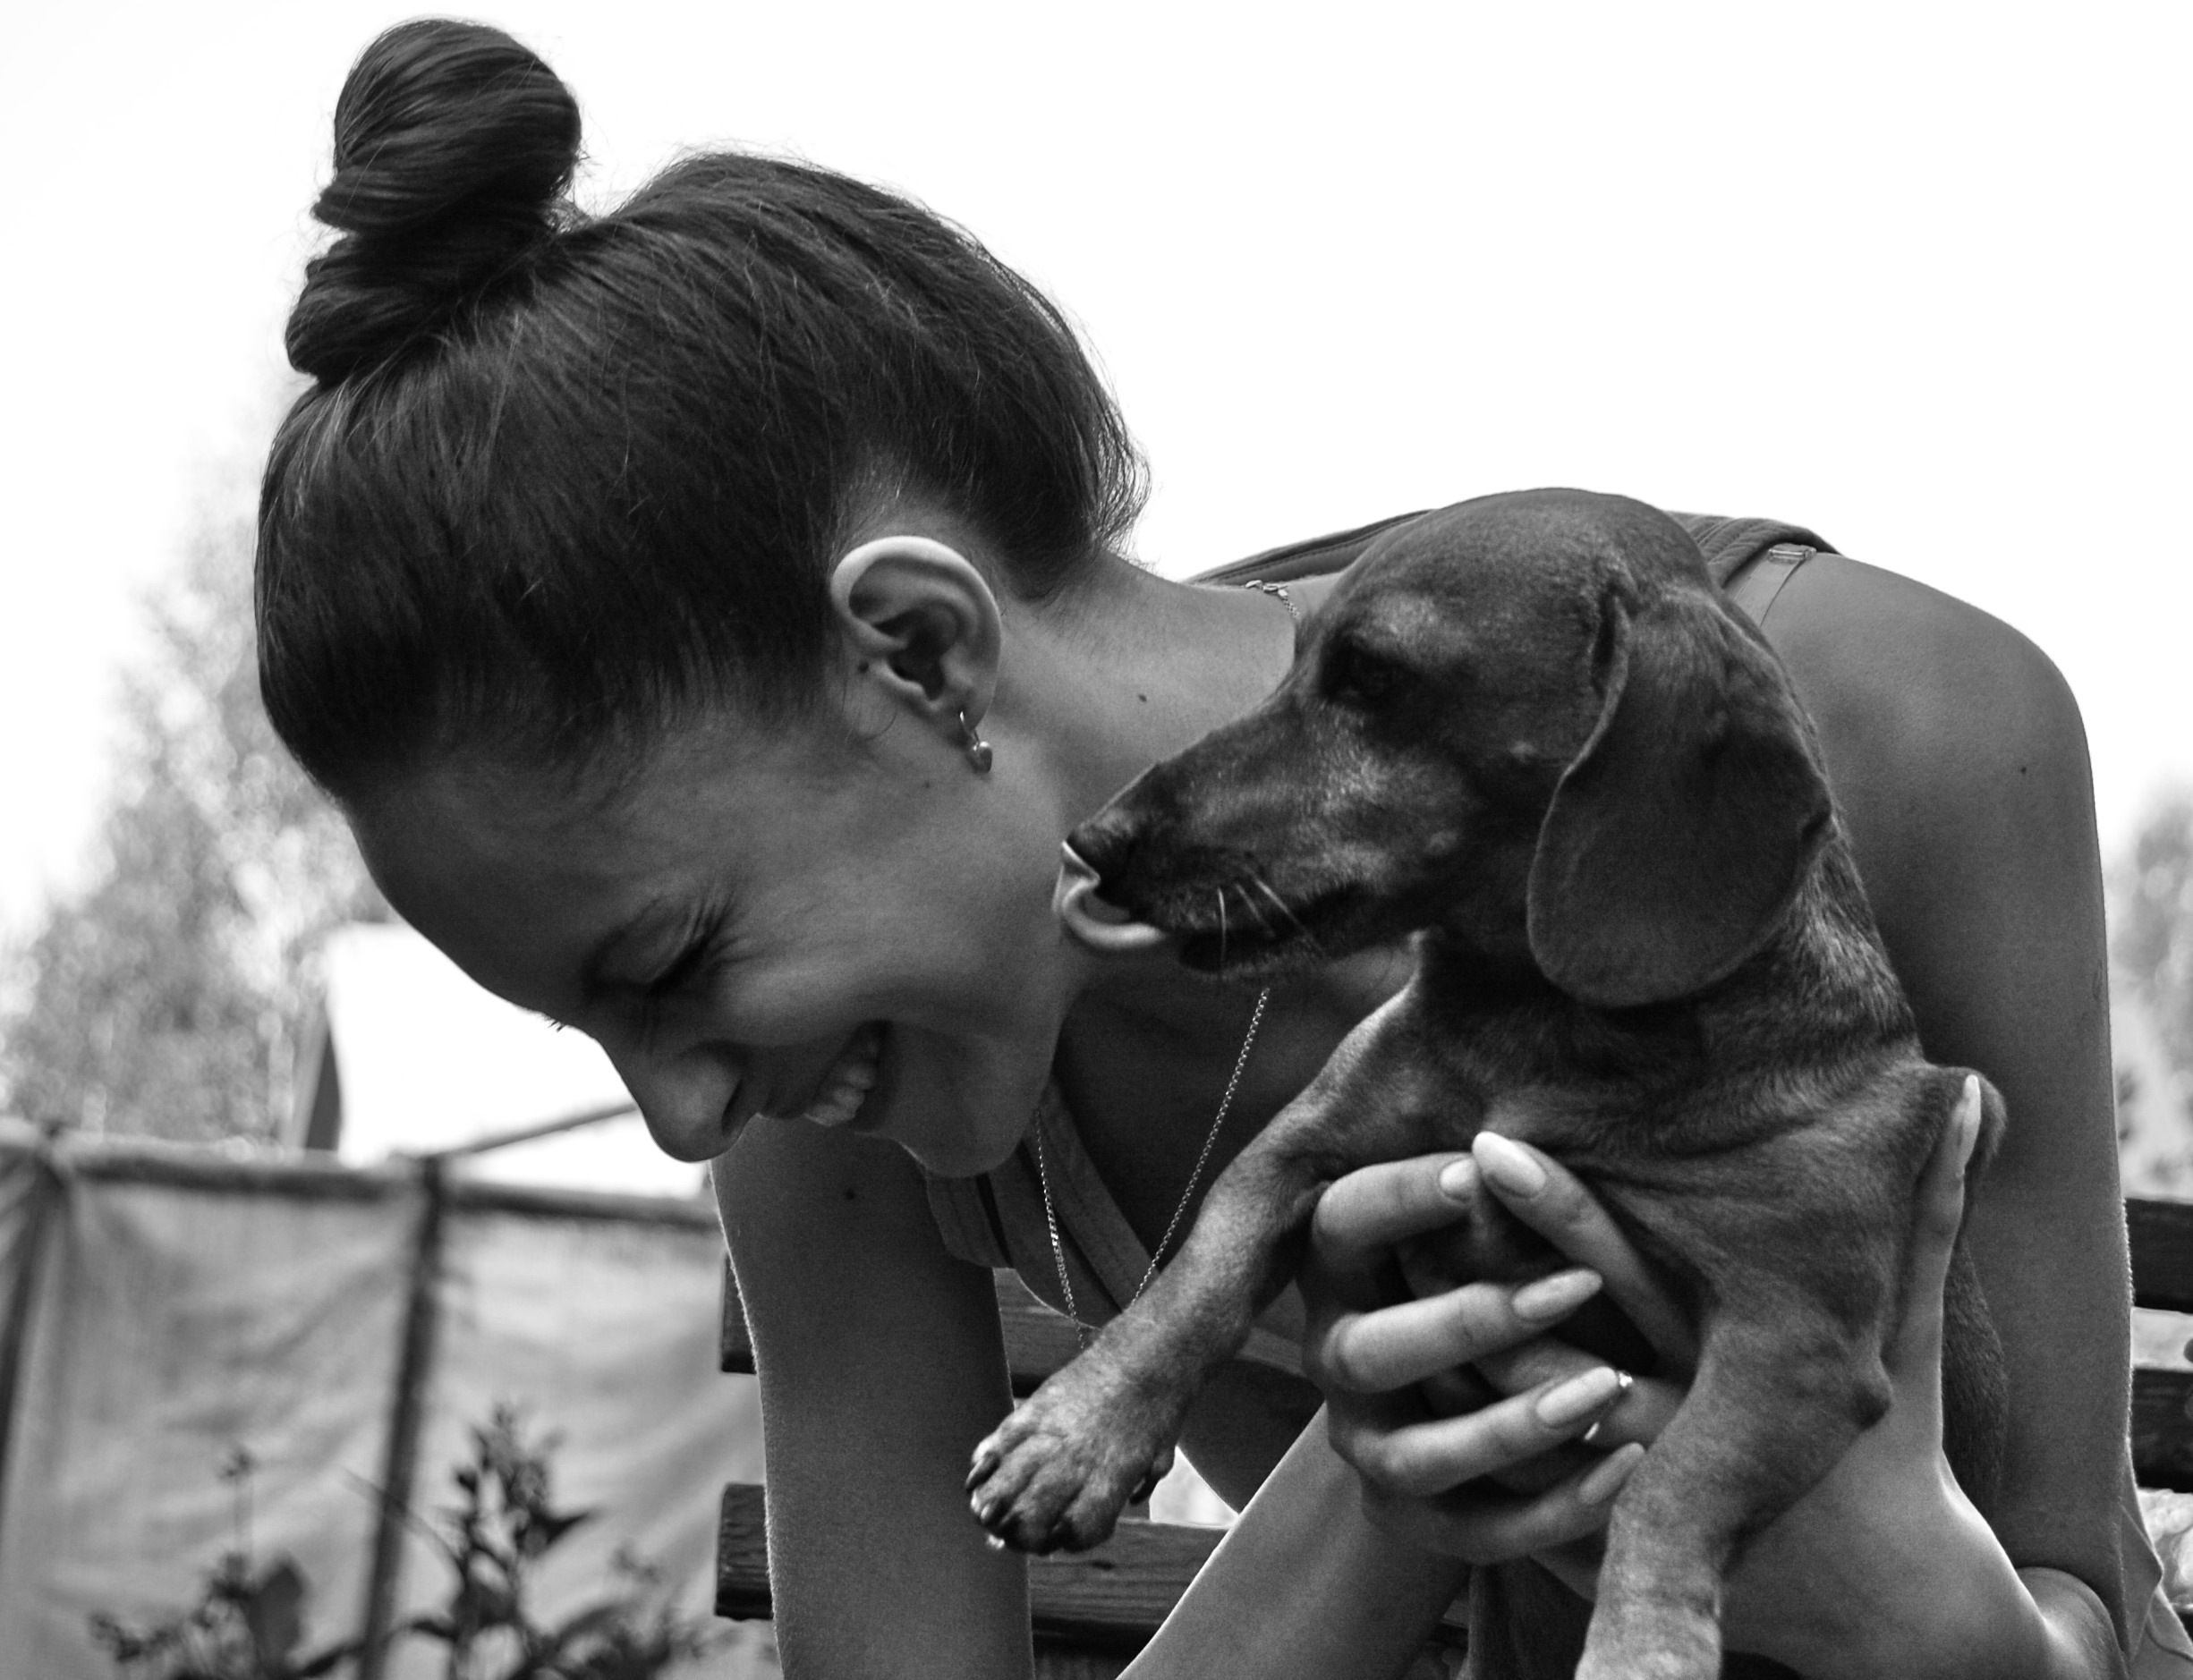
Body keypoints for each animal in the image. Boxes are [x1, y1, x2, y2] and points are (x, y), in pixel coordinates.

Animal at [963, 489, 2007, 1680]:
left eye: (1371, 678)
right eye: (1298, 664)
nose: (1095, 841)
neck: (1541, 1032)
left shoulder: (1796, 1337)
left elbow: (1673, 1480)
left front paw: (1641, 1646)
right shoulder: (1304, 1149)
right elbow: (1198, 1283)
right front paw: (1074, 1437)